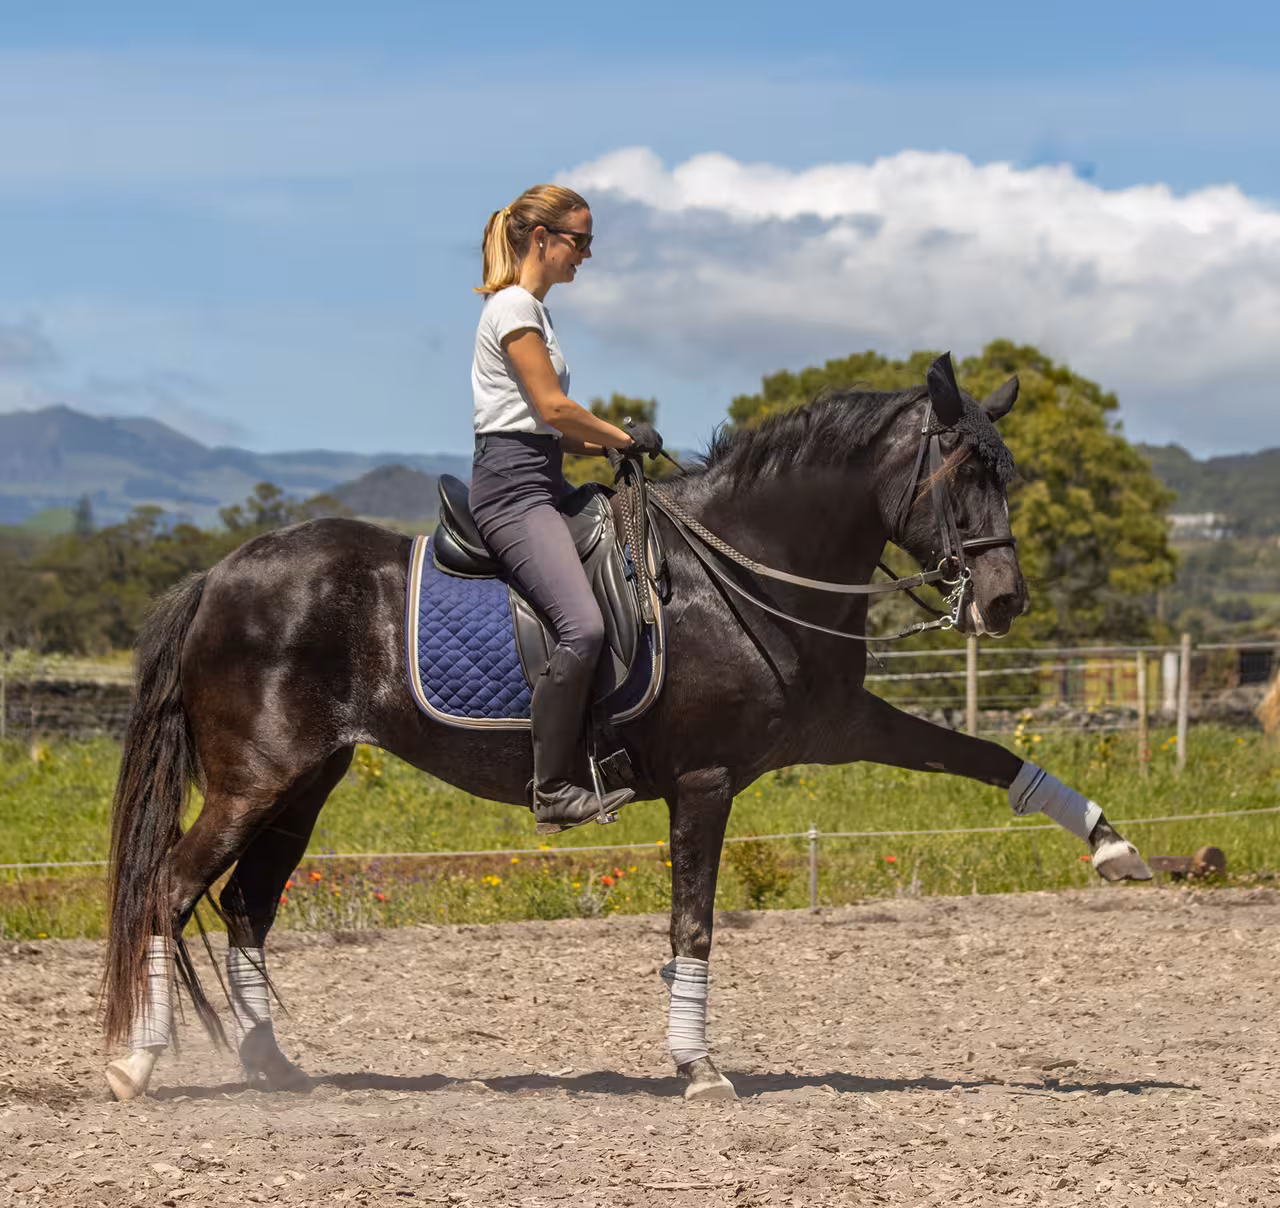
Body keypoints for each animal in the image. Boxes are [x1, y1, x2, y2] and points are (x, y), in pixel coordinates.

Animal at [101, 355, 1152, 1103]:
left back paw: (273, 1069)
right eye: (959, 472)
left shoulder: (842, 726)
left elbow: (987, 755)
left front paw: (1112, 845)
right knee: (169, 889)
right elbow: (694, 922)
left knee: (245, 907)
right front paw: (700, 1068)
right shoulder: (705, 779)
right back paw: (136, 1067)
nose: (1006, 602)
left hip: (304, 783)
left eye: (1006, 472)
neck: (747, 568)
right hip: (257, 779)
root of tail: (219, 574)